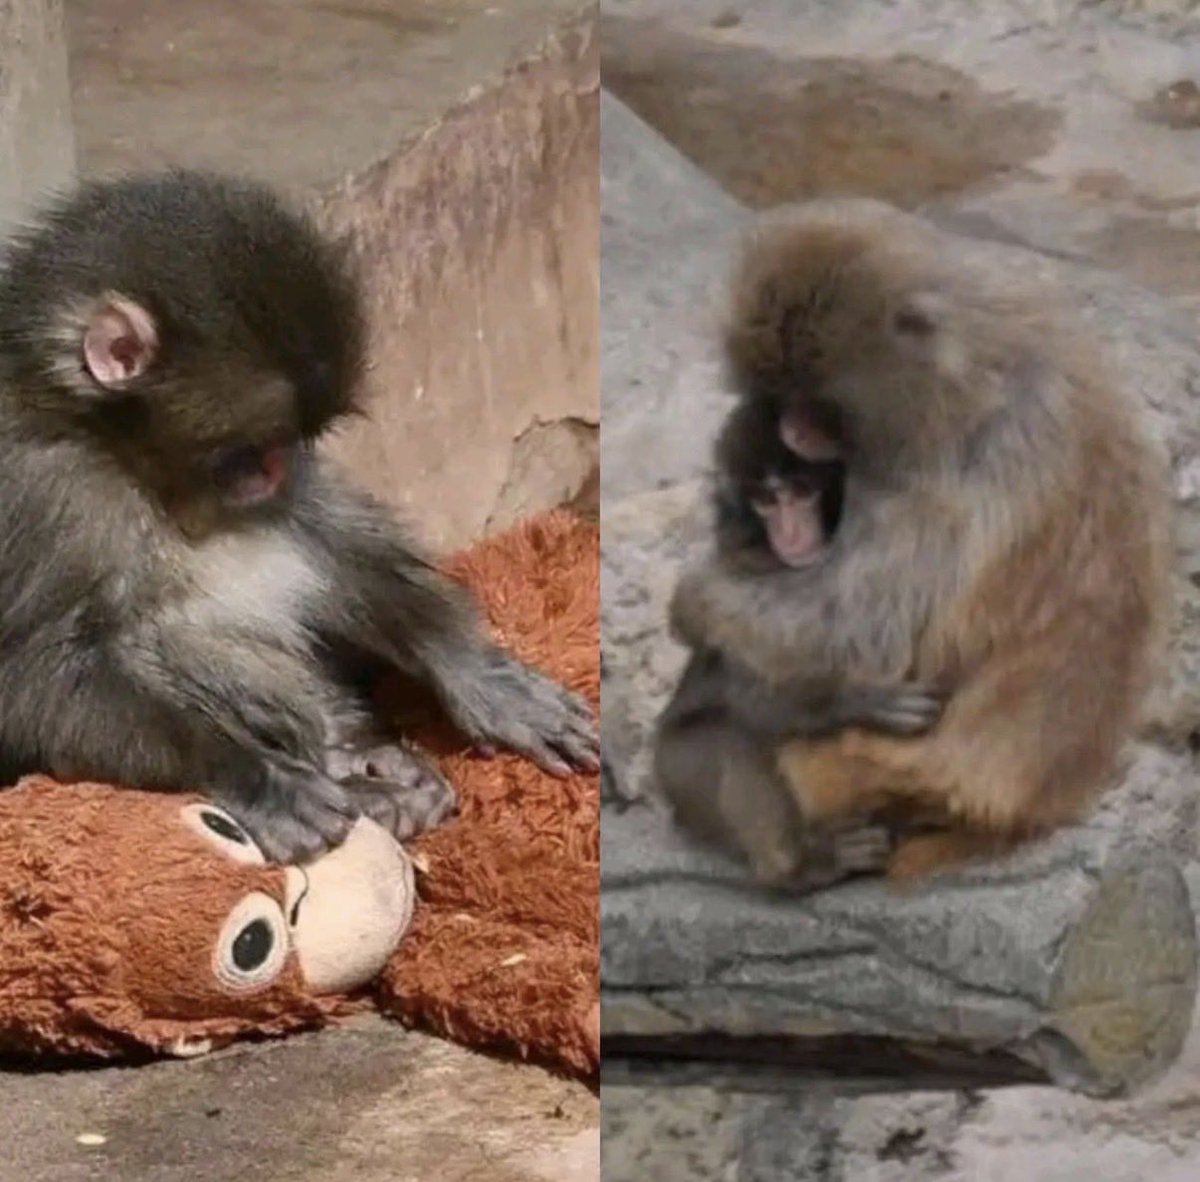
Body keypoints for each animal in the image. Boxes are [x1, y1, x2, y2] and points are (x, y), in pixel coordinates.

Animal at [0, 170, 599, 864]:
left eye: (290, 443)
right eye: (246, 453)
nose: (276, 474)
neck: (112, 450)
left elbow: (323, 533)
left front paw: (476, 669)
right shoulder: (40, 492)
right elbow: (31, 676)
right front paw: (254, 776)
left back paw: (364, 756)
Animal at [668, 197, 1172, 882]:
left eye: (815, 401)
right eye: (782, 394)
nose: (793, 430)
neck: (973, 369)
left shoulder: (954, 462)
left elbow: (866, 625)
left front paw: (695, 600)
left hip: (843, 770)